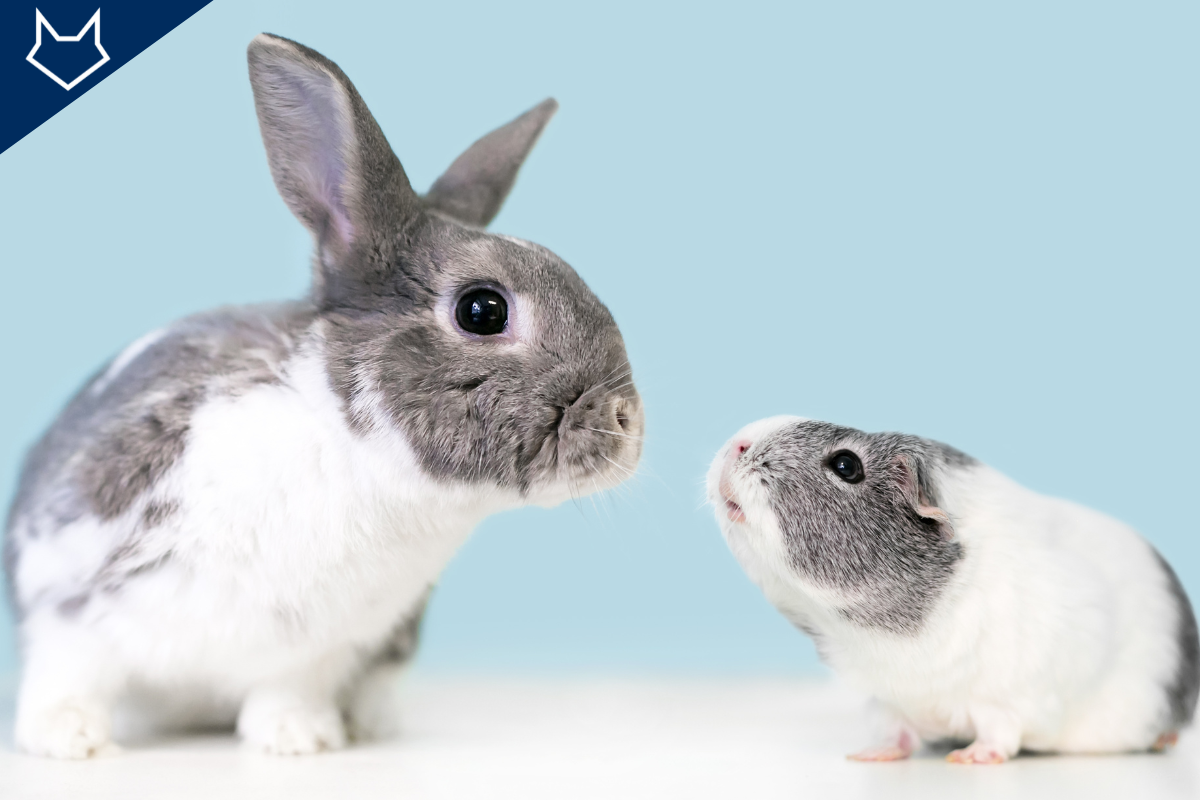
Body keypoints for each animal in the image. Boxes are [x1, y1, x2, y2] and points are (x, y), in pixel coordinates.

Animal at [3, 33, 643, 759]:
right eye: (482, 310)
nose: (628, 423)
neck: (353, 448)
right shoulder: (66, 594)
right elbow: (69, 670)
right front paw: (67, 739)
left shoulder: (320, 648)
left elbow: (287, 691)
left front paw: (298, 739)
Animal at [707, 416, 1197, 764]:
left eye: (846, 465)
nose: (736, 444)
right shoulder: (888, 700)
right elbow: (894, 732)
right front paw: (867, 756)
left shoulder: (1010, 697)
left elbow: (1000, 733)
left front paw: (970, 759)